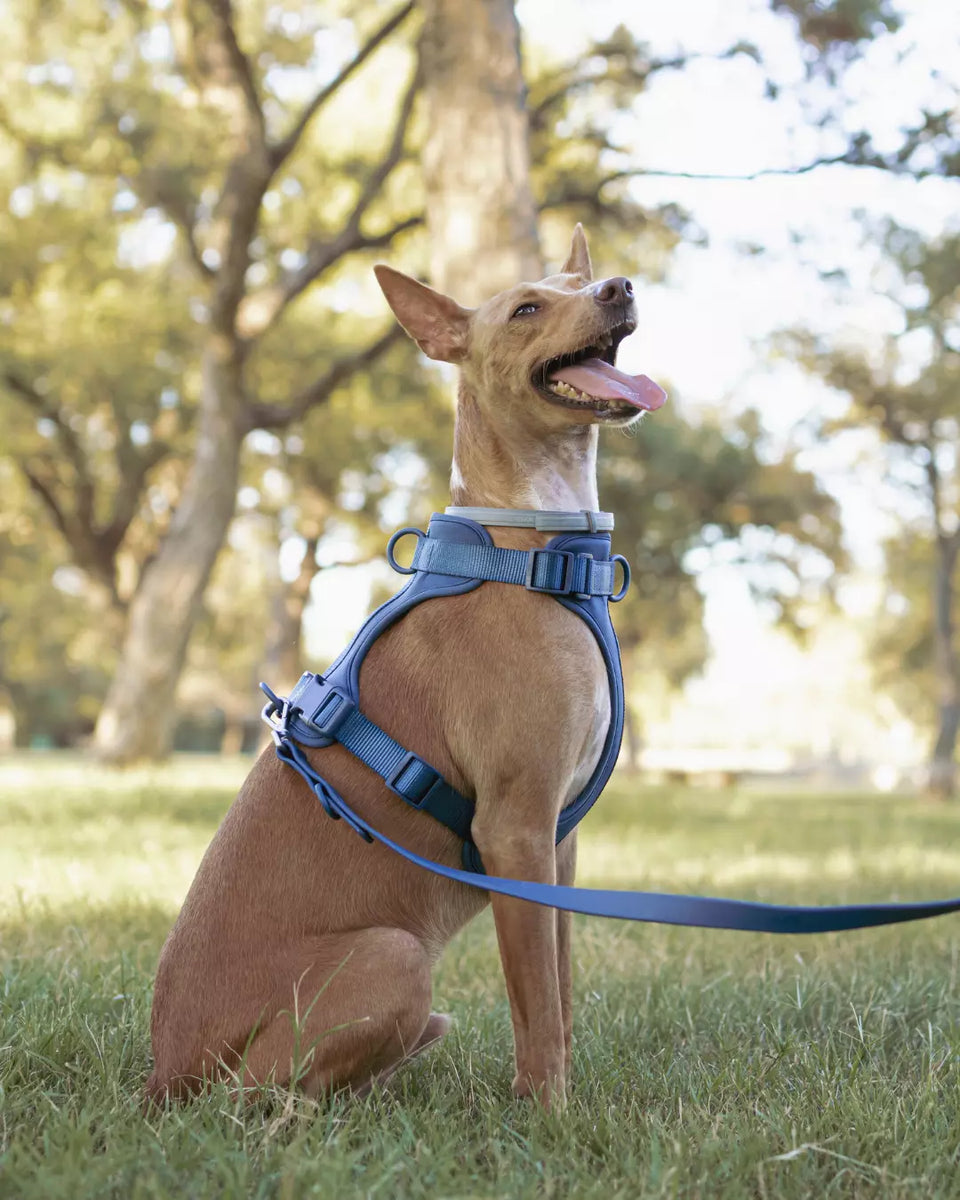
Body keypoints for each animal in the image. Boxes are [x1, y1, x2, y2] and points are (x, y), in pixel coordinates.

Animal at [146, 223, 662, 1104]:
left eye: (578, 283)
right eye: (527, 308)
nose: (620, 287)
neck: (535, 549)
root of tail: (161, 1074)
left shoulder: (556, 843)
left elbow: (558, 993)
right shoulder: (514, 828)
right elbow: (537, 1006)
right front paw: (549, 1116)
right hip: (395, 957)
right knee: (270, 1102)